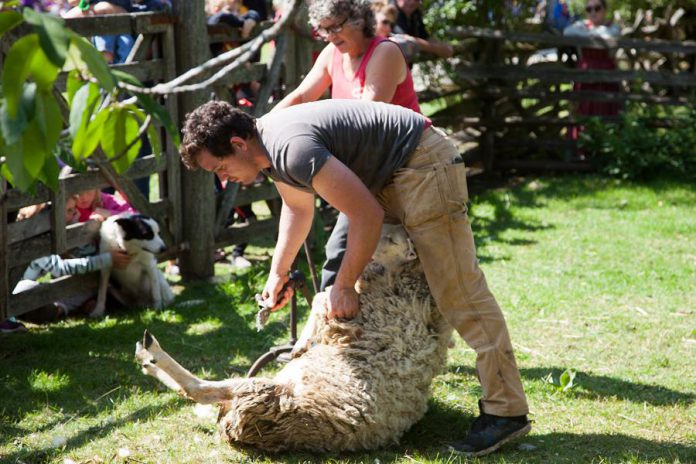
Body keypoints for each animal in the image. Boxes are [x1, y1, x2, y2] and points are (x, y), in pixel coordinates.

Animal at [133, 223, 454, 452]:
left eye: (392, 240)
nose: (355, 243)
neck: (403, 277)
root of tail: (240, 429)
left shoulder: (347, 312)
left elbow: (321, 298)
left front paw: (300, 345)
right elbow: (321, 299)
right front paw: (301, 344)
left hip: (261, 392)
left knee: (200, 390)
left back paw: (150, 351)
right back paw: (148, 362)